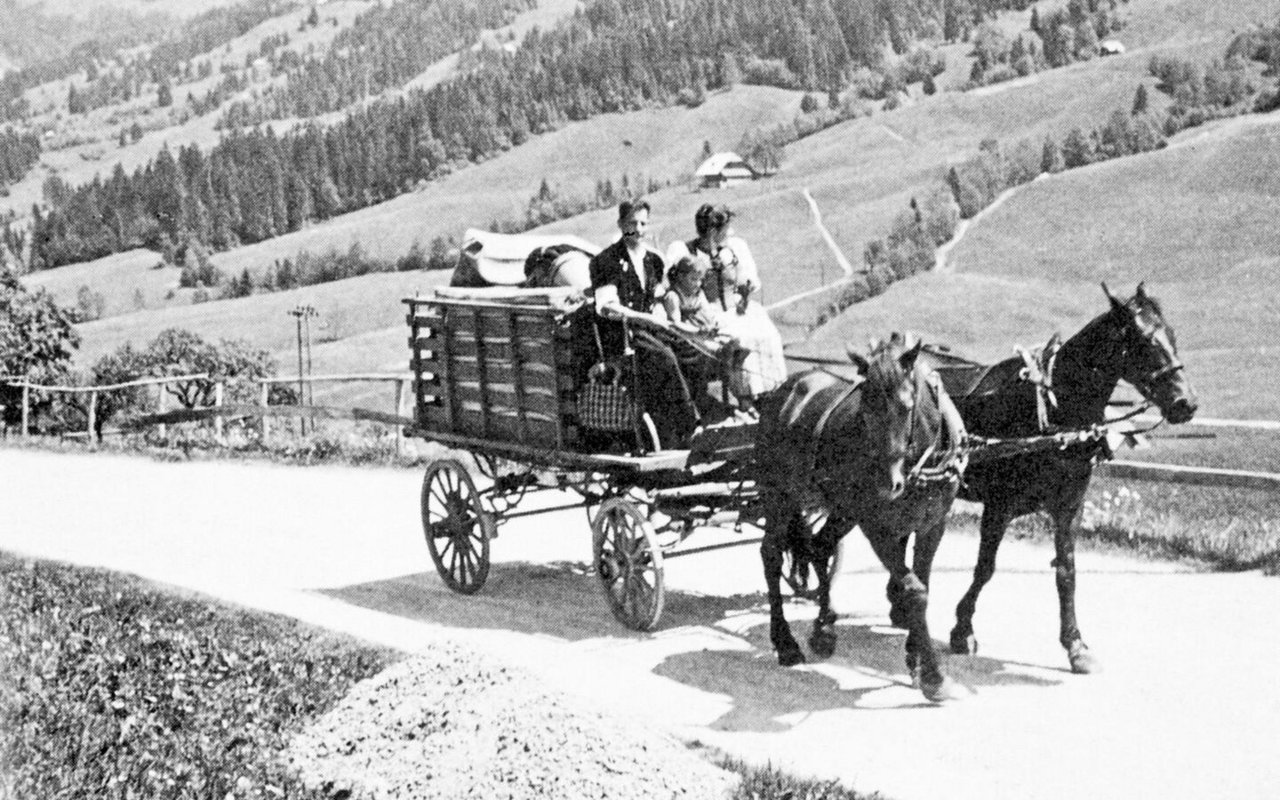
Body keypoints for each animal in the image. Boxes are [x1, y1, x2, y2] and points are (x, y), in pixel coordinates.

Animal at [752, 330, 962, 696]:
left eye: (906, 407)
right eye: (864, 409)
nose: (886, 483)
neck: (920, 464)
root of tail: (784, 390)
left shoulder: (933, 524)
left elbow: (922, 584)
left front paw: (916, 658)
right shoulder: (877, 526)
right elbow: (914, 591)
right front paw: (934, 676)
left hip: (842, 508)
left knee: (819, 547)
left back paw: (824, 629)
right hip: (779, 495)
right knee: (772, 555)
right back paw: (785, 642)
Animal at [926, 284, 1192, 670]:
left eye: (1172, 335)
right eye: (1144, 342)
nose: (1187, 403)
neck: (1052, 413)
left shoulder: (1069, 505)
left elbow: (1066, 572)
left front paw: (1075, 645)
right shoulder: (999, 505)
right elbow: (985, 568)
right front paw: (962, 629)